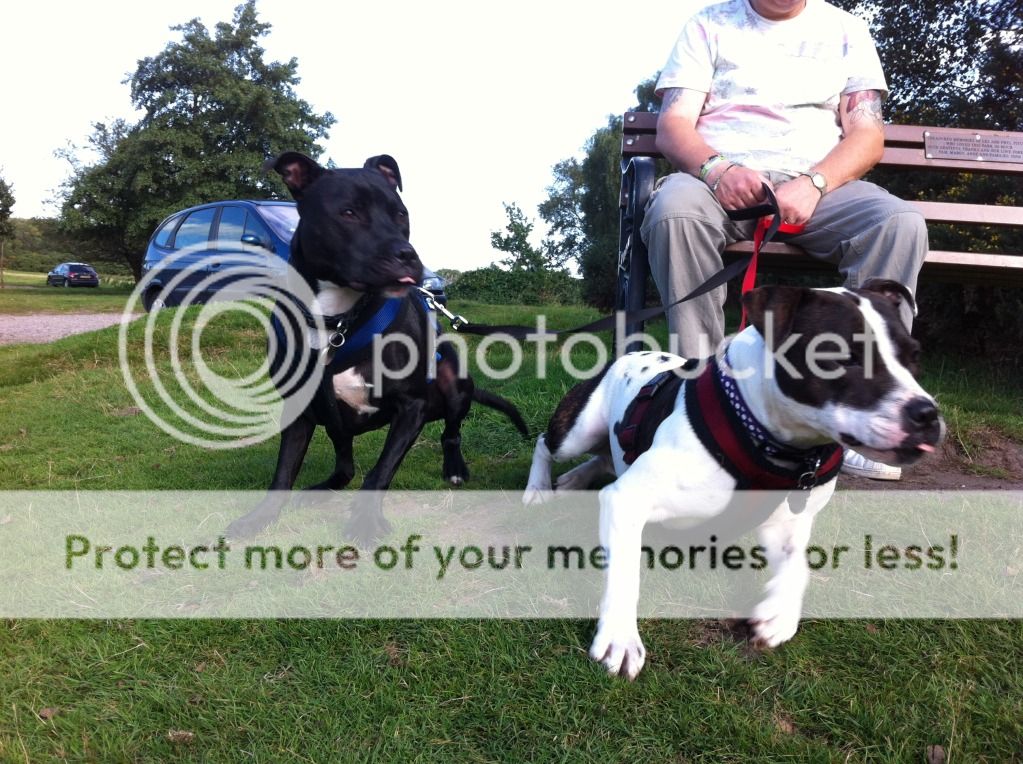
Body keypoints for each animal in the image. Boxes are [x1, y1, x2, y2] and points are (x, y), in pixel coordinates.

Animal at [225, 151, 527, 544]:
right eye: (349, 213)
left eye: (401, 214)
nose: (408, 255)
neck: (336, 321)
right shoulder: (299, 408)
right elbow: (283, 474)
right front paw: (258, 519)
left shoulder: (411, 407)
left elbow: (379, 472)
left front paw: (365, 521)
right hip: (334, 418)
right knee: (345, 465)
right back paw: (322, 488)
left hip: (455, 384)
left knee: (451, 432)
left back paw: (455, 468)